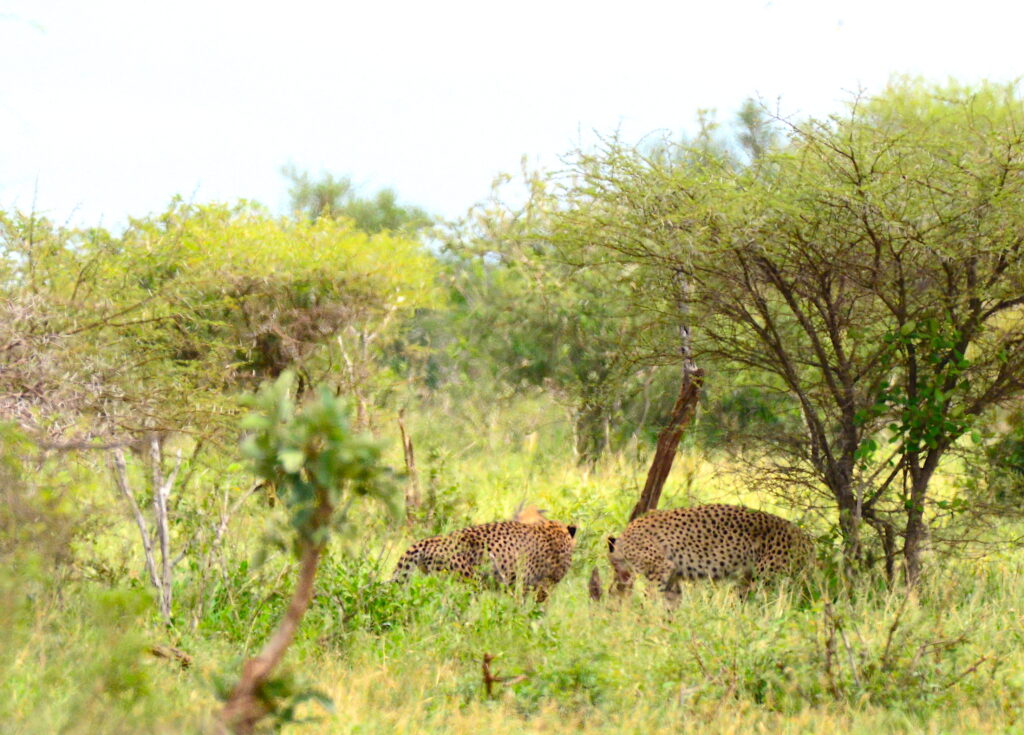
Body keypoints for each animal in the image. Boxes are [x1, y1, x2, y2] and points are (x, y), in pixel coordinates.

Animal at [602, 507, 811, 606]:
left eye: (613, 564)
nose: (618, 580)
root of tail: (804, 535)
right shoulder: (672, 576)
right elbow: (671, 602)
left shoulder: (661, 569)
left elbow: (651, 597)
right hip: (748, 579)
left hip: (768, 579)